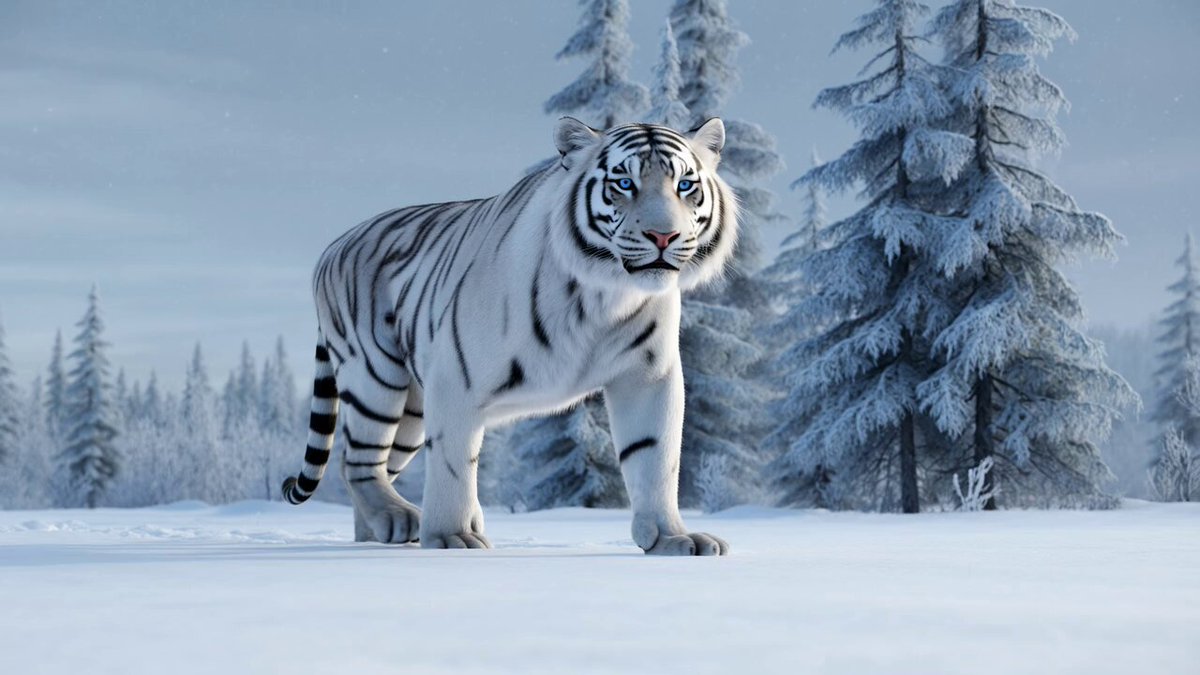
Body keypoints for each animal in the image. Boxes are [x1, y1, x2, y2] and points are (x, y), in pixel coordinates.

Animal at [282, 117, 737, 555]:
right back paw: (397, 519)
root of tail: (333, 246)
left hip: (412, 405)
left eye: (685, 185)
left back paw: (380, 531)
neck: (606, 296)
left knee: (376, 465)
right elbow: (453, 462)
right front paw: (452, 537)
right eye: (624, 183)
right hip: (375, 376)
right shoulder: (456, 378)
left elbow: (654, 456)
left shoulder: (648, 376)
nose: (664, 236)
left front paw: (671, 538)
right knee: (356, 460)